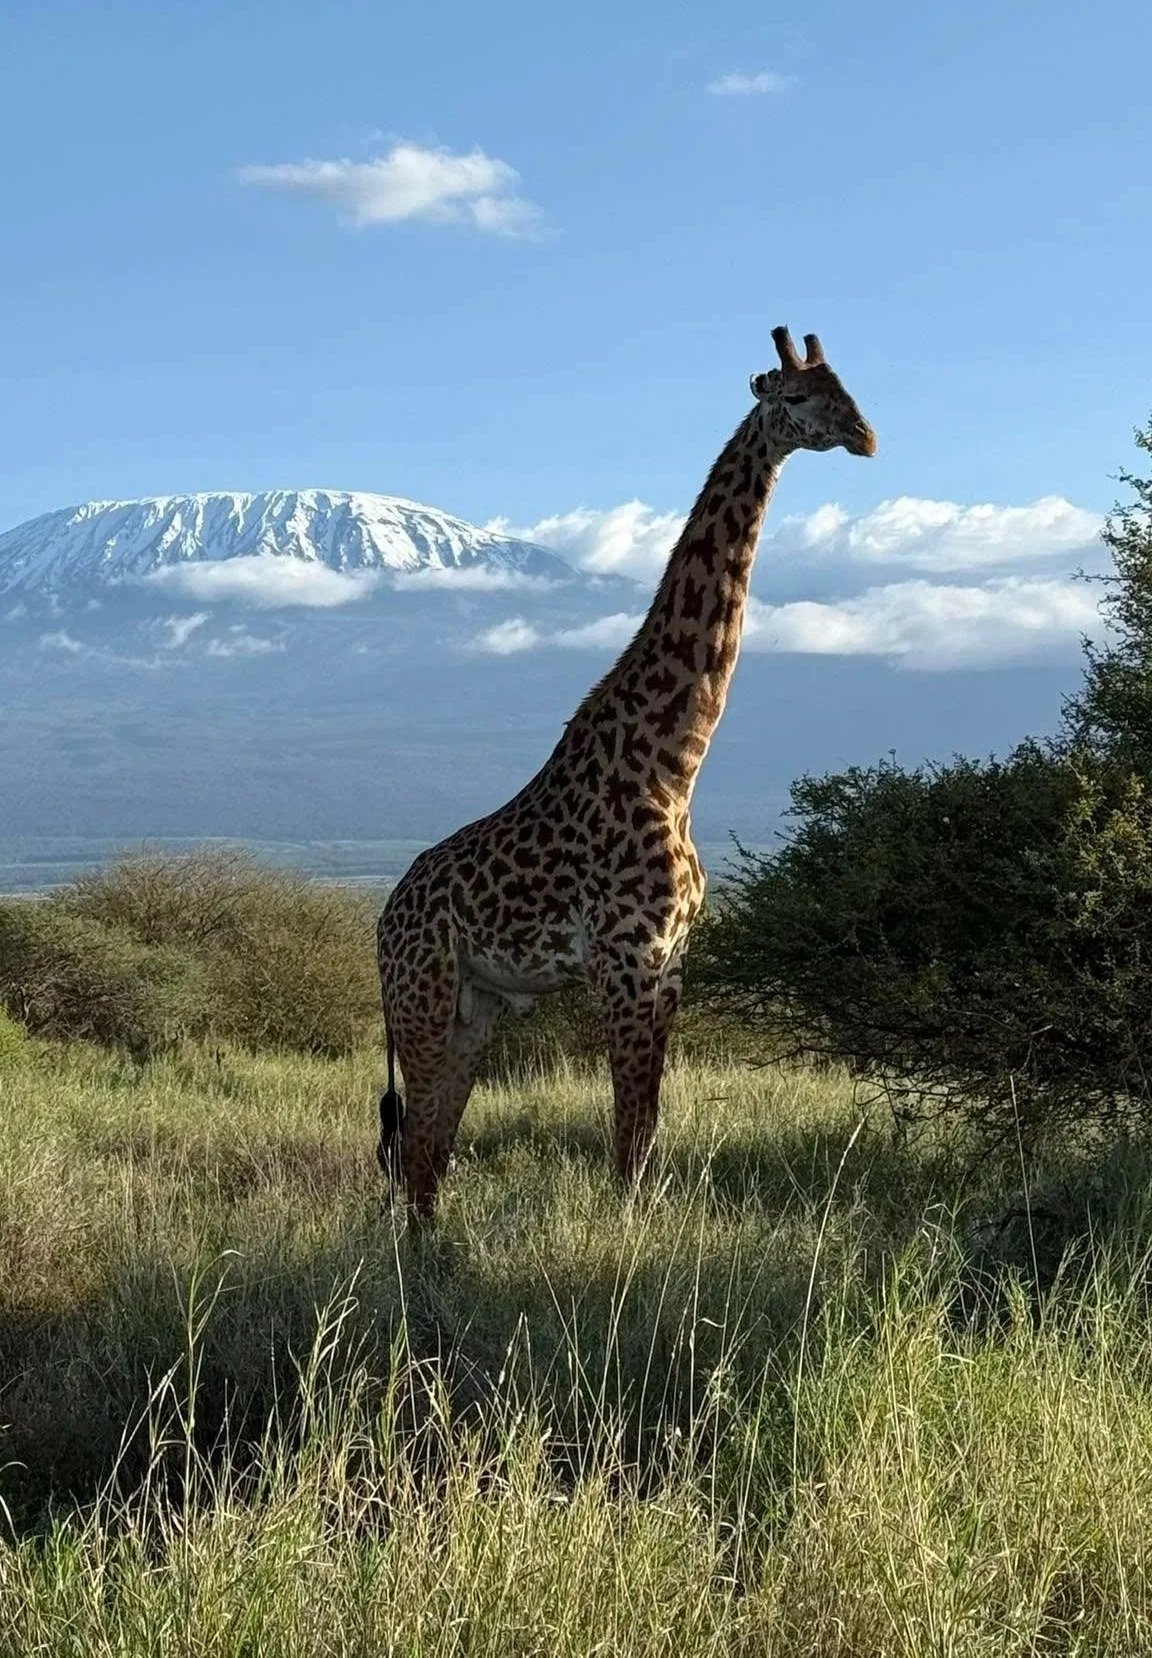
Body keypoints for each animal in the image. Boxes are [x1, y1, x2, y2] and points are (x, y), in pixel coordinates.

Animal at [376, 326, 876, 1219]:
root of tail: (378, 925)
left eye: (849, 389)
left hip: (475, 1005)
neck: (671, 766)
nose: (866, 436)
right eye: (795, 398)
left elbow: (645, 1134)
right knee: (414, 1150)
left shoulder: (671, 963)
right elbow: (628, 1141)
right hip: (423, 997)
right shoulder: (625, 961)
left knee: (427, 1153)